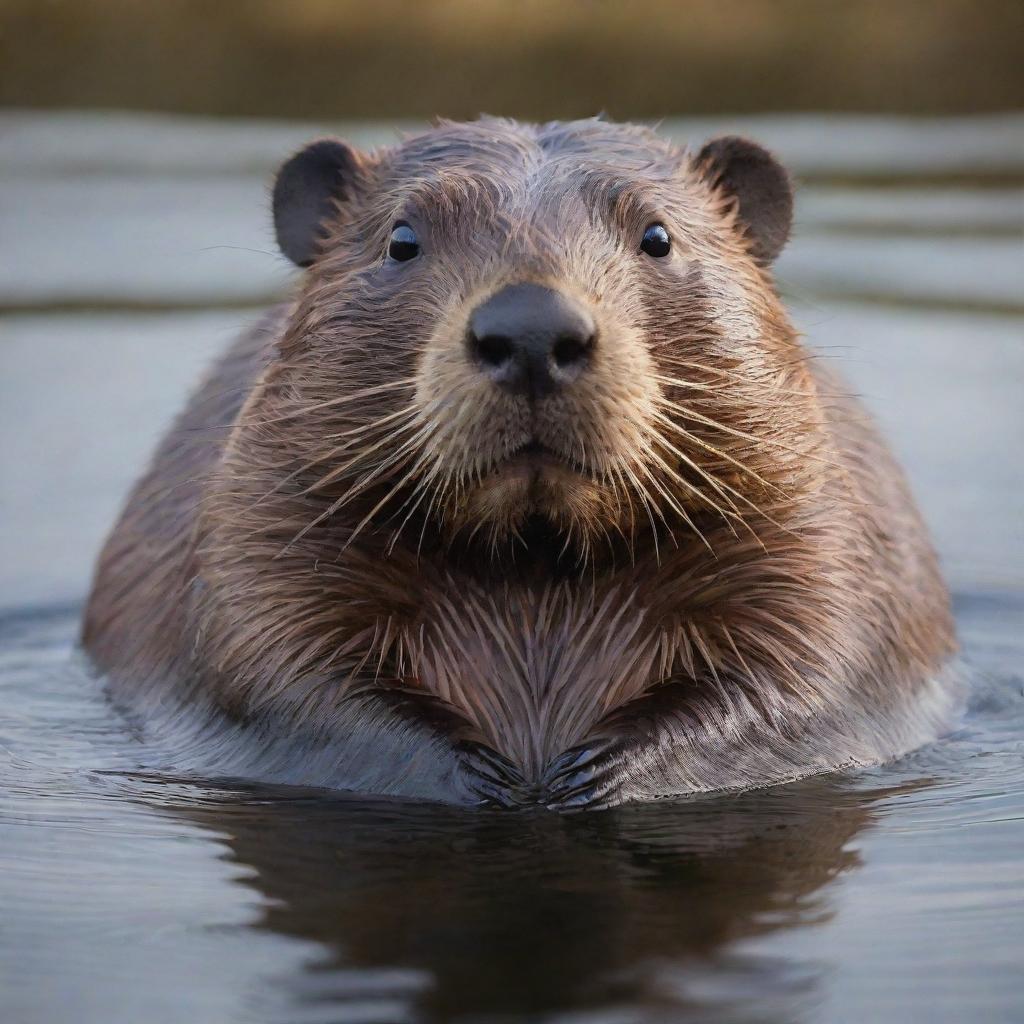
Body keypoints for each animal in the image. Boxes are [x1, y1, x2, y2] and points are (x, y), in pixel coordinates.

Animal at [83, 117, 954, 806]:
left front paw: (585, 776)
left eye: (658, 235)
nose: (533, 328)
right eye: (402, 239)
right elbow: (276, 669)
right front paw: (497, 778)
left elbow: (809, 666)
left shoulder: (808, 520)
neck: (537, 565)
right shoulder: (265, 515)